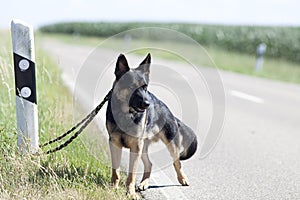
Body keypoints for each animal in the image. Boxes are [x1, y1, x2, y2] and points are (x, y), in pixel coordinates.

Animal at [105, 53, 197, 198]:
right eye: (131, 87)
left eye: (145, 87)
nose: (147, 104)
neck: (127, 114)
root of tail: (168, 111)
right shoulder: (115, 144)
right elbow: (116, 171)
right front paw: (113, 187)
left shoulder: (135, 147)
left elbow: (131, 175)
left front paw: (130, 193)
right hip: (143, 148)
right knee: (149, 164)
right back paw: (144, 183)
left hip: (170, 146)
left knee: (177, 163)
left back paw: (183, 179)